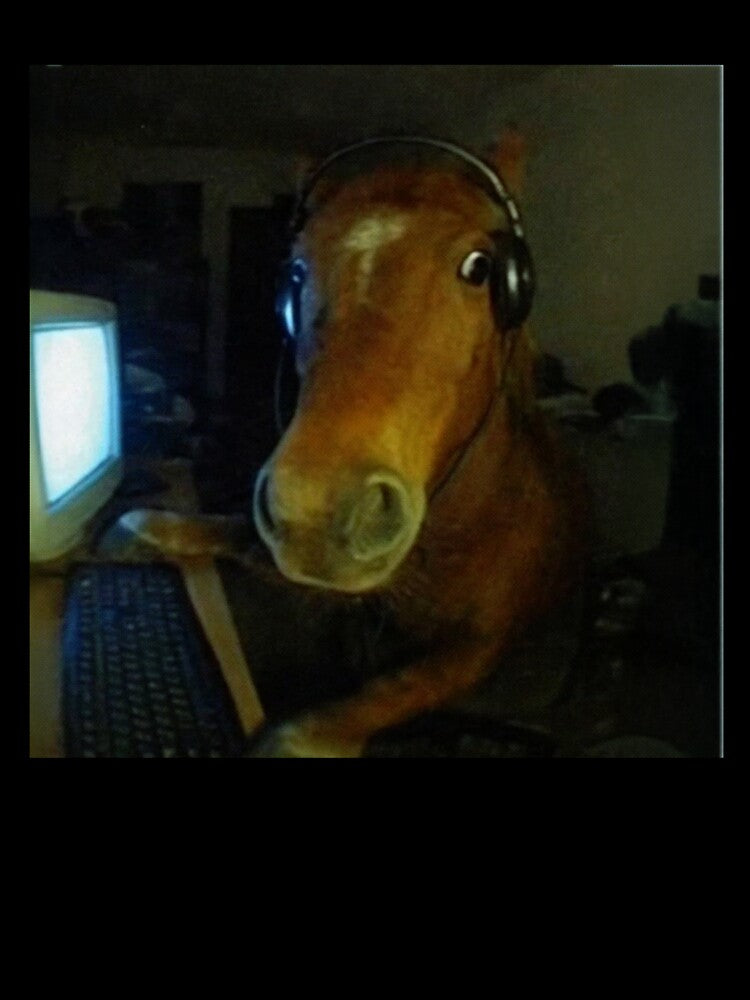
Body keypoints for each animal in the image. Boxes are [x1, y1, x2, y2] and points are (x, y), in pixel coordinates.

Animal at [125, 133, 587, 757]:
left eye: (479, 267)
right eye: (297, 271)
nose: (316, 508)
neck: (454, 530)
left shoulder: (481, 648)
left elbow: (397, 687)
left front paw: (304, 737)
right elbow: (233, 530)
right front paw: (151, 525)